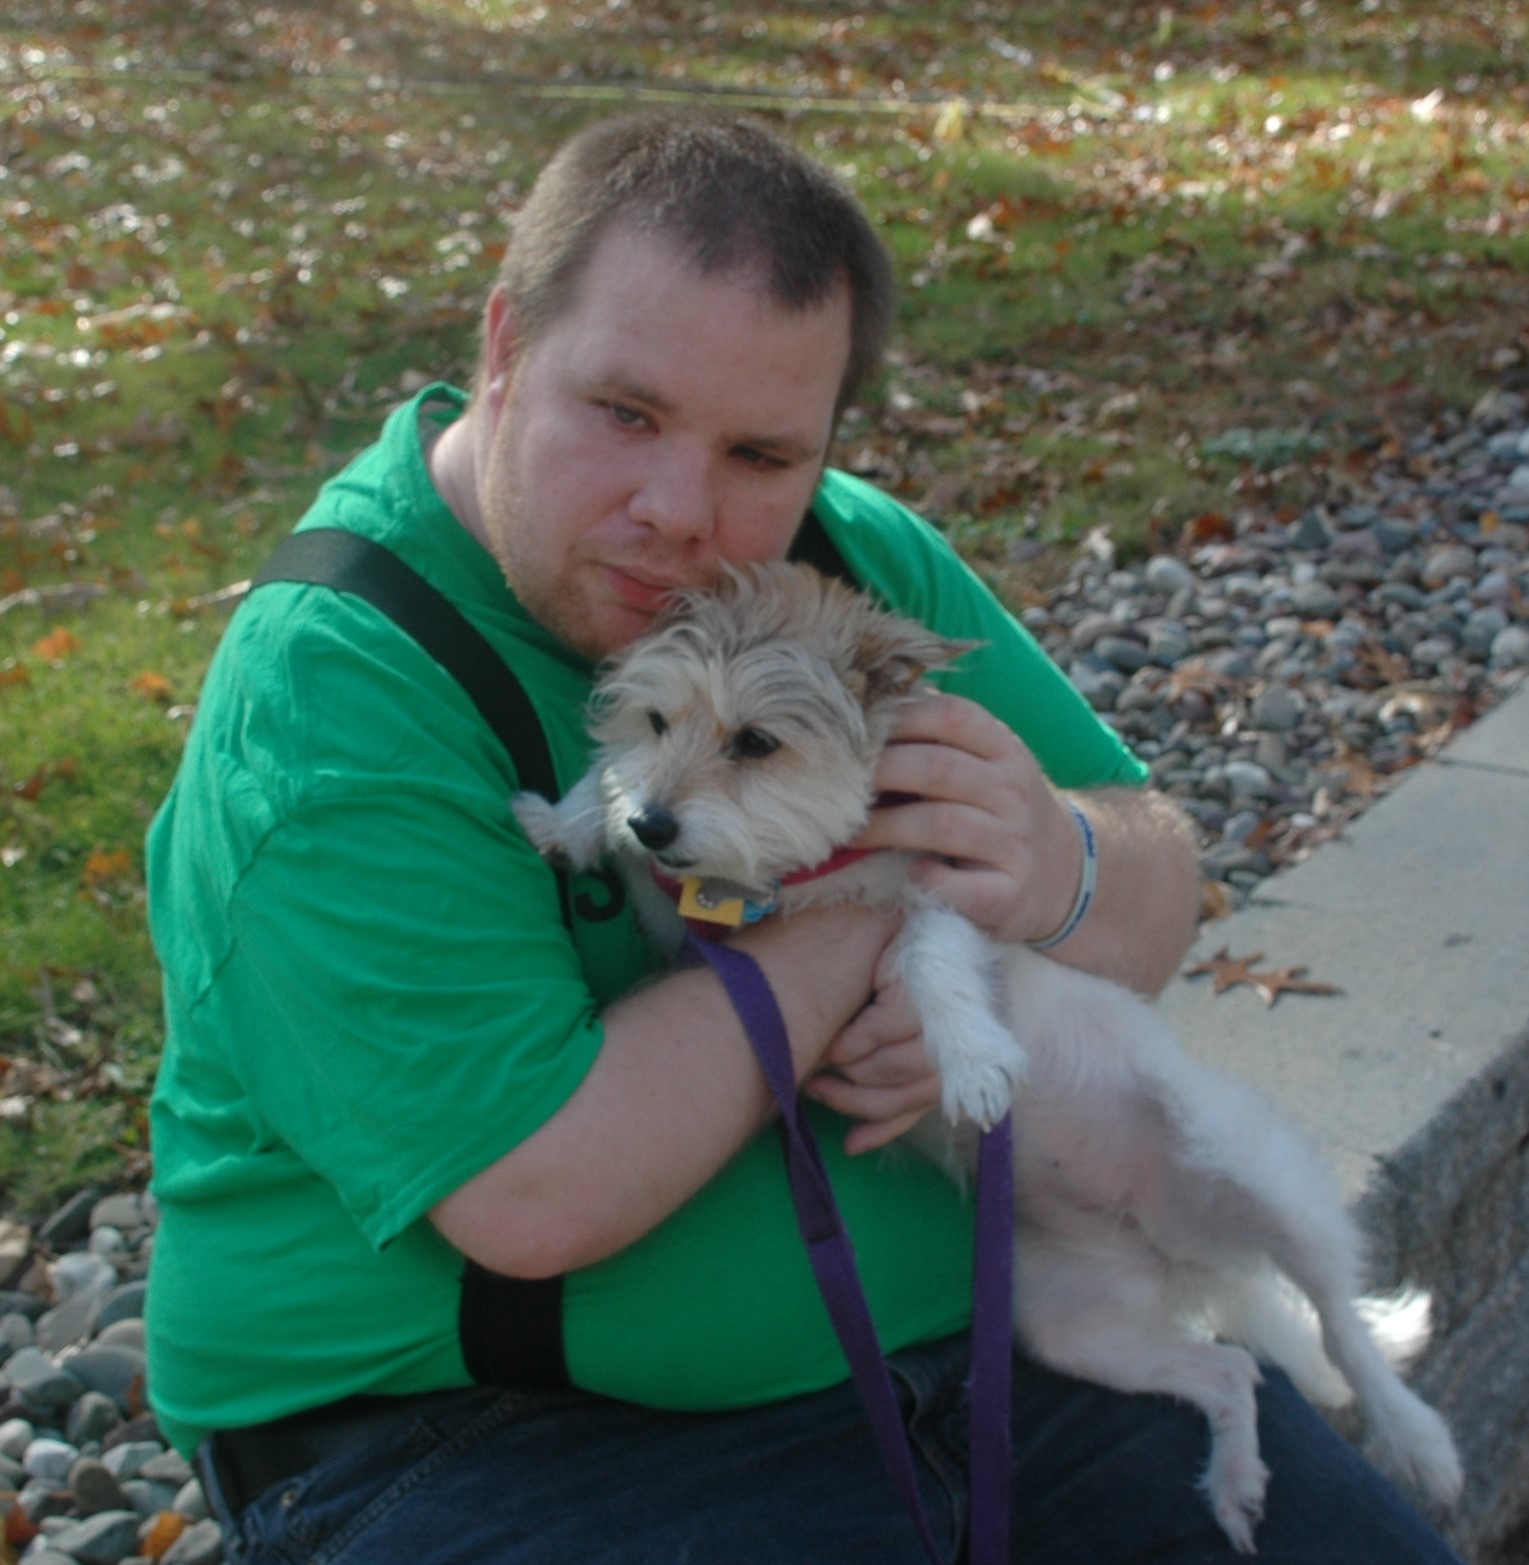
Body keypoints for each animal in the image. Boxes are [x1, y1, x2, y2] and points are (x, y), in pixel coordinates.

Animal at [516, 557, 1464, 1546]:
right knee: (1232, 1373)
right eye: (658, 721)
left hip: (1259, 1178)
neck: (811, 873)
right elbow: (627, 818)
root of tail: (1184, 1252)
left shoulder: (955, 900)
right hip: (1073, 1327)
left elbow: (928, 961)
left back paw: (1417, 1439)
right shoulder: (698, 921)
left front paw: (970, 1062)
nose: (658, 822)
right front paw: (574, 817)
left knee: (1340, 1326)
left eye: (756, 741)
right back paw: (1236, 1482)